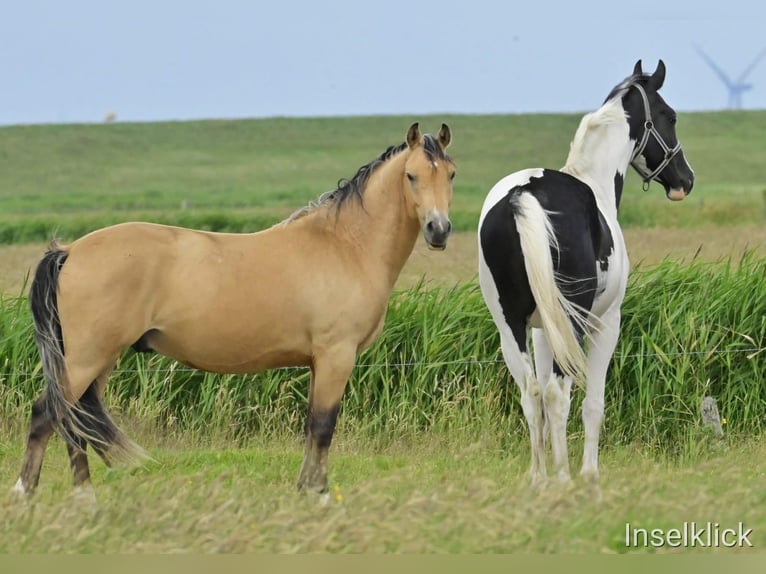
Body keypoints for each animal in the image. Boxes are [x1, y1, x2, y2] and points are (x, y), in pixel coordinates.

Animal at [480, 62, 696, 486]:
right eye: (671, 116)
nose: (686, 181)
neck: (594, 180)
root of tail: (522, 196)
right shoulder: (605, 323)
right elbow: (593, 403)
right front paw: (589, 474)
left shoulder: (542, 330)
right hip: (573, 319)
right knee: (557, 394)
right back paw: (563, 478)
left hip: (509, 324)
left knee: (532, 393)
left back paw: (539, 479)